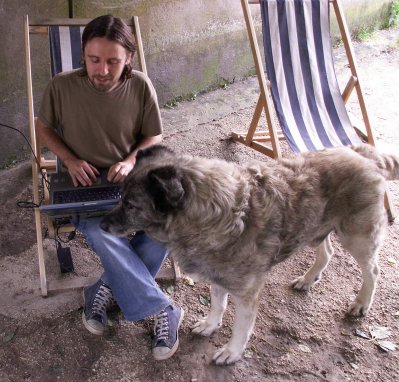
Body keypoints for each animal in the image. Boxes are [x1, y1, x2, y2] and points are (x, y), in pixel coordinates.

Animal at [101, 145, 398, 366]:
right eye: (120, 196)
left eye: (131, 205)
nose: (101, 225)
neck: (211, 215)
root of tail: (363, 152)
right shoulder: (217, 277)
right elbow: (218, 305)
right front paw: (211, 325)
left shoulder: (247, 293)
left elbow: (241, 328)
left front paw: (232, 352)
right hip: (314, 229)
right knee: (327, 252)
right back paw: (308, 279)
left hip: (356, 237)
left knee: (372, 271)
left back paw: (361, 303)